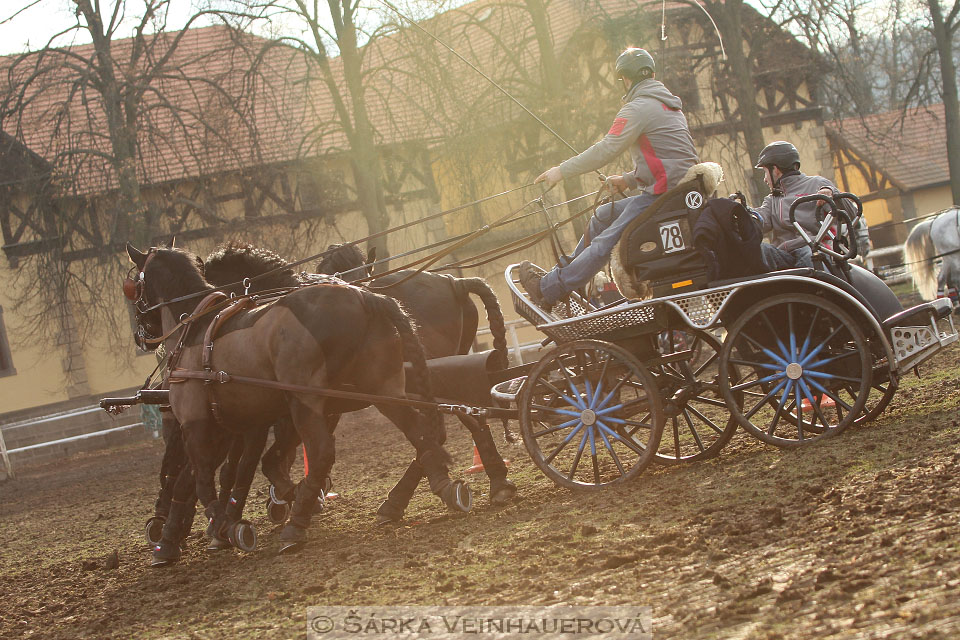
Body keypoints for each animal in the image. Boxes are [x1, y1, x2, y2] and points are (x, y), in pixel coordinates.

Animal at [127, 242, 472, 564]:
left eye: (132, 287)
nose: (141, 336)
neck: (198, 329)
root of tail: (365, 297)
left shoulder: (199, 423)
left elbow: (204, 479)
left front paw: (220, 527)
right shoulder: (234, 426)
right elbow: (210, 476)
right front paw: (179, 536)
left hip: (305, 401)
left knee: (322, 452)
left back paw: (297, 525)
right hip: (382, 389)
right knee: (421, 432)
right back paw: (438, 490)